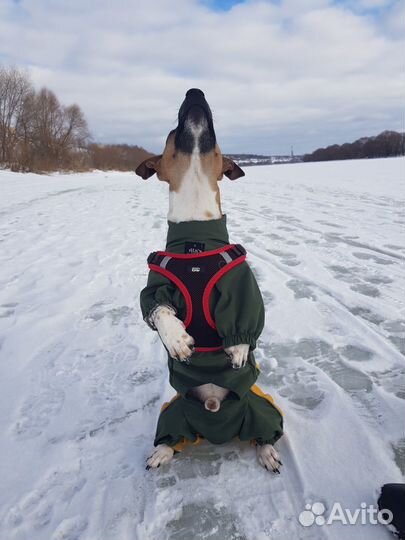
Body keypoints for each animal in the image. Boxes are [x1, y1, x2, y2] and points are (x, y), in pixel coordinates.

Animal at [135, 89, 280, 472]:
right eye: (173, 131)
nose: (194, 92)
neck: (195, 236)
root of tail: (216, 421)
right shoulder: (156, 286)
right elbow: (157, 309)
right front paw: (178, 341)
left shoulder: (241, 285)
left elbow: (246, 316)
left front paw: (238, 347)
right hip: (175, 412)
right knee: (172, 435)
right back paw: (162, 451)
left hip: (259, 407)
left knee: (264, 432)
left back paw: (267, 451)